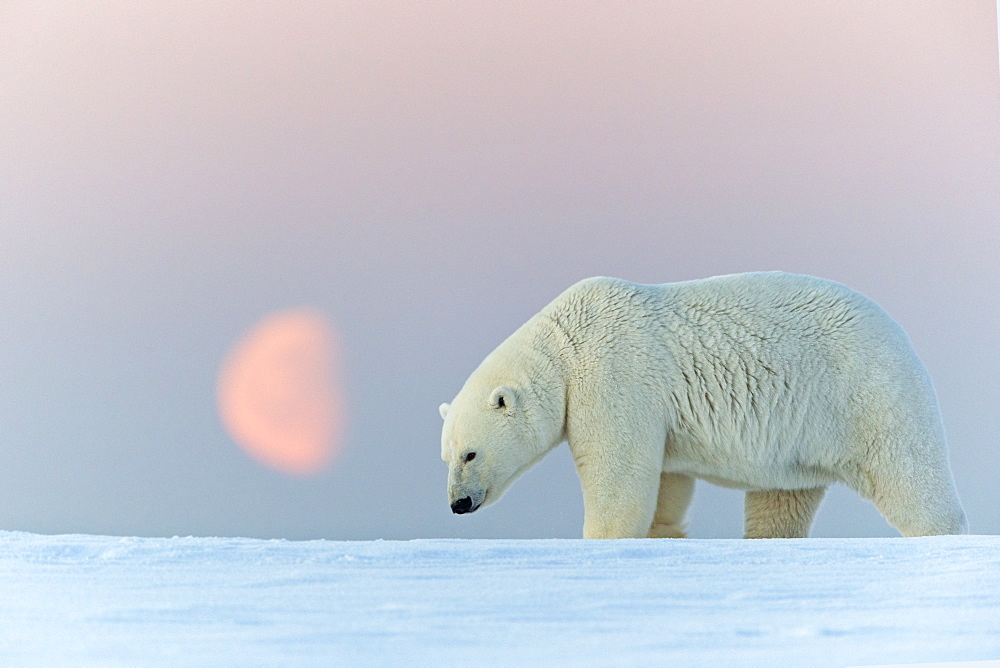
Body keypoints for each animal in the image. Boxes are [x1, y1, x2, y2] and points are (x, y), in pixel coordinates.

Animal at [440, 272, 968, 536]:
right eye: (446, 457)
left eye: (471, 453)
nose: (457, 504)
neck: (567, 344)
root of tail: (901, 336)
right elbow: (666, 485)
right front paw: (663, 536)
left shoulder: (614, 377)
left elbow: (617, 477)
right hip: (802, 438)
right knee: (780, 502)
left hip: (866, 393)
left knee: (911, 479)